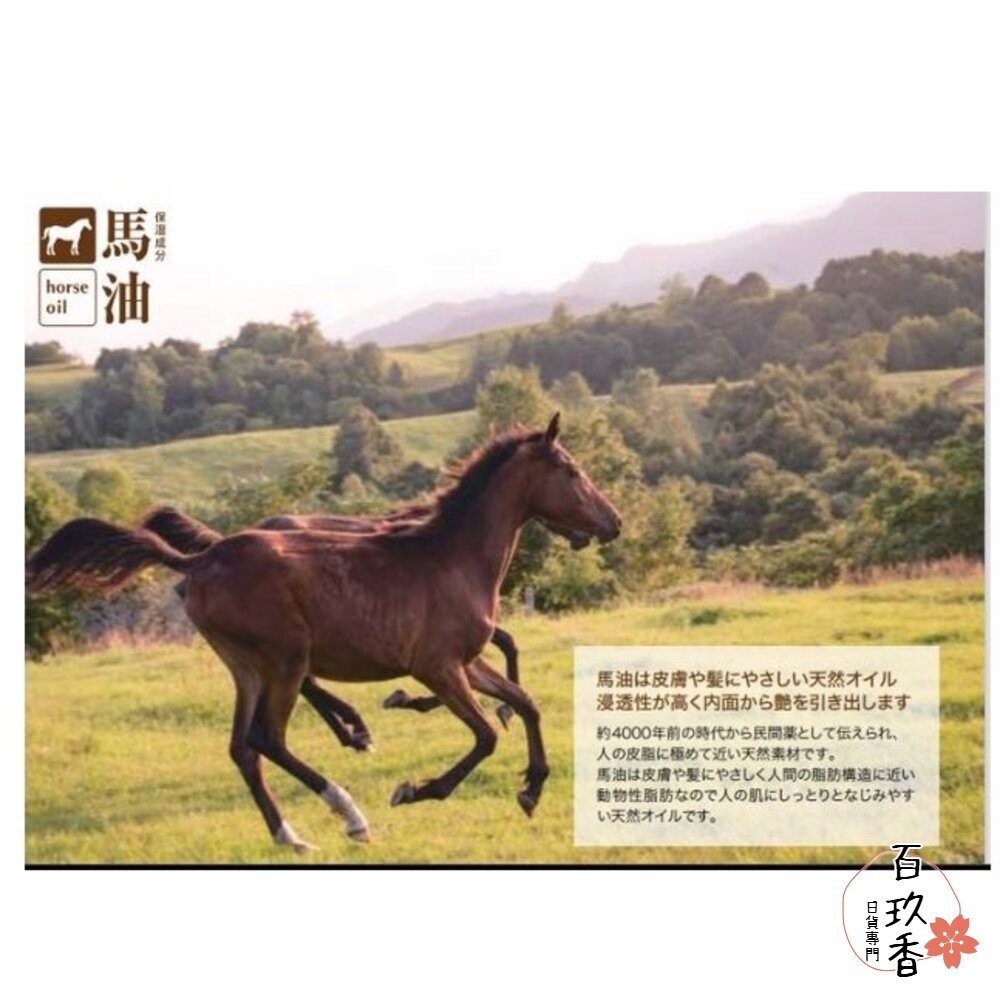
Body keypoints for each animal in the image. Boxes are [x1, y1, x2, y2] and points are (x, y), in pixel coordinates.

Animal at [138, 502, 592, 747]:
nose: (585, 534)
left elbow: (503, 646)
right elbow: (505, 645)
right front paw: (493, 708)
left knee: (303, 679)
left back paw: (351, 729)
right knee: (302, 679)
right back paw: (354, 728)